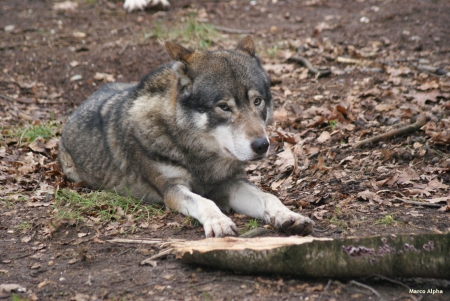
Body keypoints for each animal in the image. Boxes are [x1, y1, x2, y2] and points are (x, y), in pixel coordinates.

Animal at [59, 35, 312, 237]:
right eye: (224, 107)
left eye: (257, 101)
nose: (262, 145)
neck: (199, 156)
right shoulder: (172, 190)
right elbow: (204, 201)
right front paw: (219, 222)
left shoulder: (231, 183)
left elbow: (268, 197)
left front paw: (288, 216)